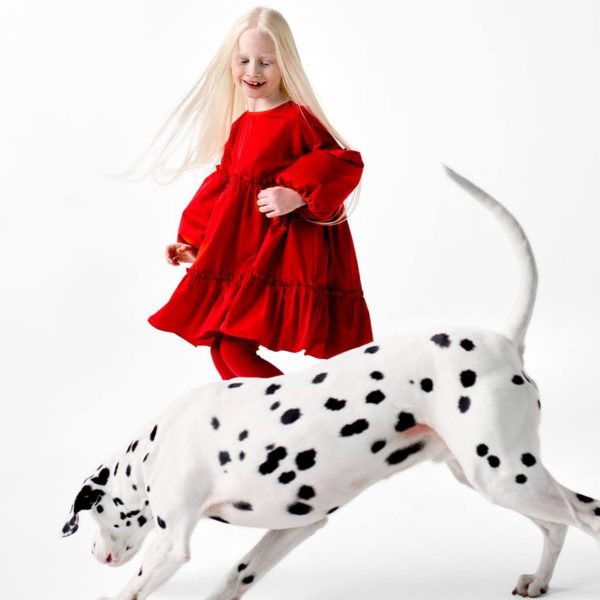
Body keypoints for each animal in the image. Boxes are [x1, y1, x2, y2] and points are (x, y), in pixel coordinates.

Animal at [63, 168, 600, 600]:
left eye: (93, 514)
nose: (94, 556)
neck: (156, 445)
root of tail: (503, 341)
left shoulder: (171, 545)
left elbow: (129, 591)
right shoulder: (296, 525)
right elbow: (236, 576)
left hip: (506, 476)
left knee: (586, 515)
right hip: (486, 476)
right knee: (559, 525)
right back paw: (539, 580)